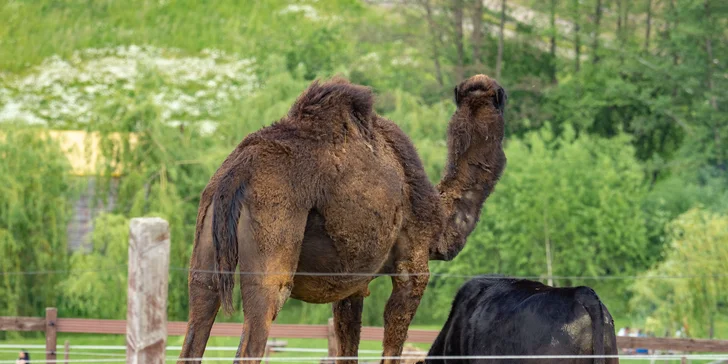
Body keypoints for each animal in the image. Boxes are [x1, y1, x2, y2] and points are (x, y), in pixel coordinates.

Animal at [176, 74, 506, 364]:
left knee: (197, 320)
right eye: (500, 101)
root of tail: (237, 171)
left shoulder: (353, 284)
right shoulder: (412, 266)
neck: (439, 217)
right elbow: (391, 347)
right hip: (271, 240)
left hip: (205, 243)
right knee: (254, 334)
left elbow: (348, 347)